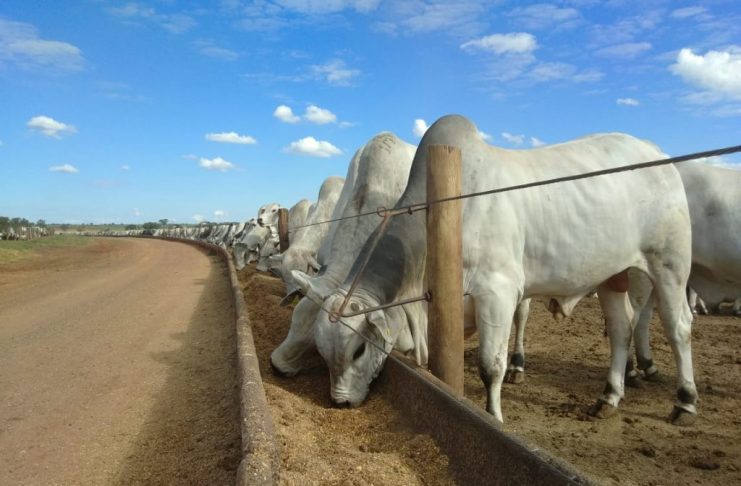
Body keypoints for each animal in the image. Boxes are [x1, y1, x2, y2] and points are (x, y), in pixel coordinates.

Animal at [308, 114, 696, 425]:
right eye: (322, 353)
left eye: (358, 350)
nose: (340, 402)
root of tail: (657, 154)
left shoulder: (497, 293)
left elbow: (490, 366)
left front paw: (494, 416)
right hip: (611, 276)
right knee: (620, 329)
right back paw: (609, 397)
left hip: (670, 264)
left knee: (678, 327)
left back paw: (685, 402)